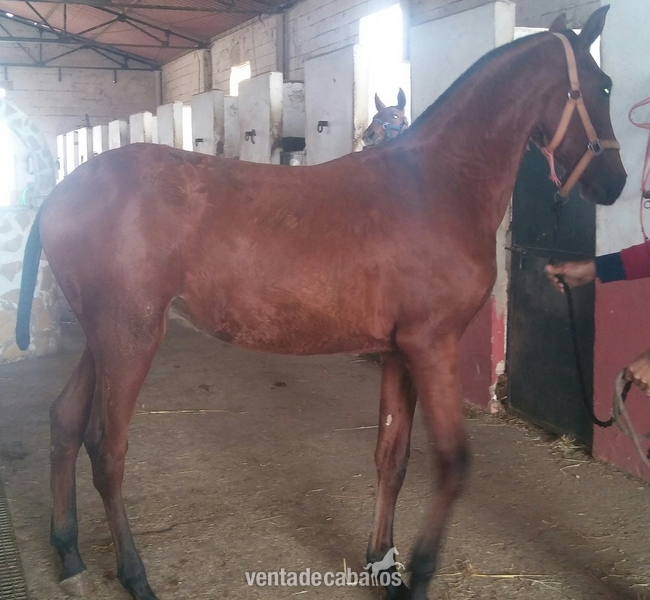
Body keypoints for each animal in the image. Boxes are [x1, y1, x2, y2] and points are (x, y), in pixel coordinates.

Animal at [15, 7, 625, 600]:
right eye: (603, 86)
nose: (615, 183)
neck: (435, 186)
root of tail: (60, 194)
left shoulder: (399, 351)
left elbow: (392, 457)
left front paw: (383, 564)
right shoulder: (433, 346)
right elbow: (453, 463)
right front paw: (419, 576)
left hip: (107, 338)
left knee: (65, 421)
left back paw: (69, 554)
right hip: (130, 341)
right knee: (106, 451)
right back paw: (135, 575)